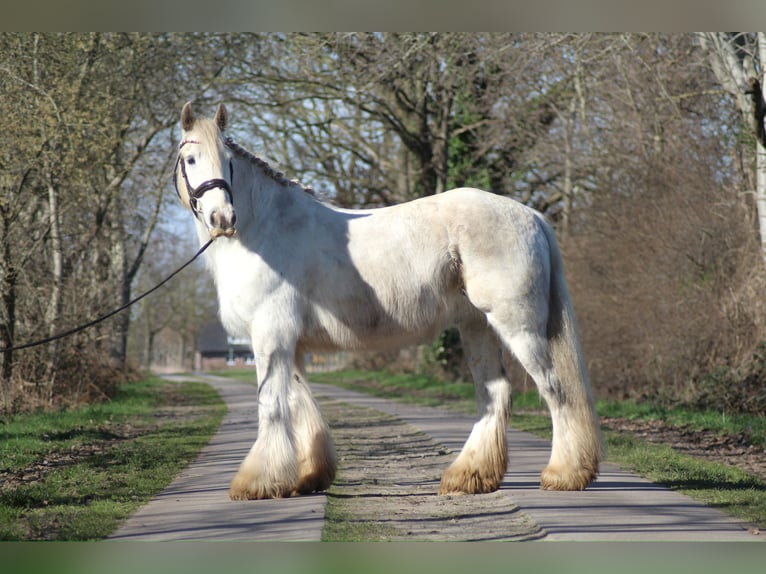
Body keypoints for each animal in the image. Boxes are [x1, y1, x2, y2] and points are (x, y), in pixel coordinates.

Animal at [174, 102, 604, 500]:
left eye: (228, 161)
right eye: (191, 159)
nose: (222, 218)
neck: (266, 229)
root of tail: (531, 215)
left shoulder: (270, 334)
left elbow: (273, 404)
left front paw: (257, 482)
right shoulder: (289, 343)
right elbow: (299, 402)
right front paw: (309, 476)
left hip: (518, 326)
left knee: (556, 390)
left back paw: (565, 474)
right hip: (477, 326)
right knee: (495, 393)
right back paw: (468, 476)